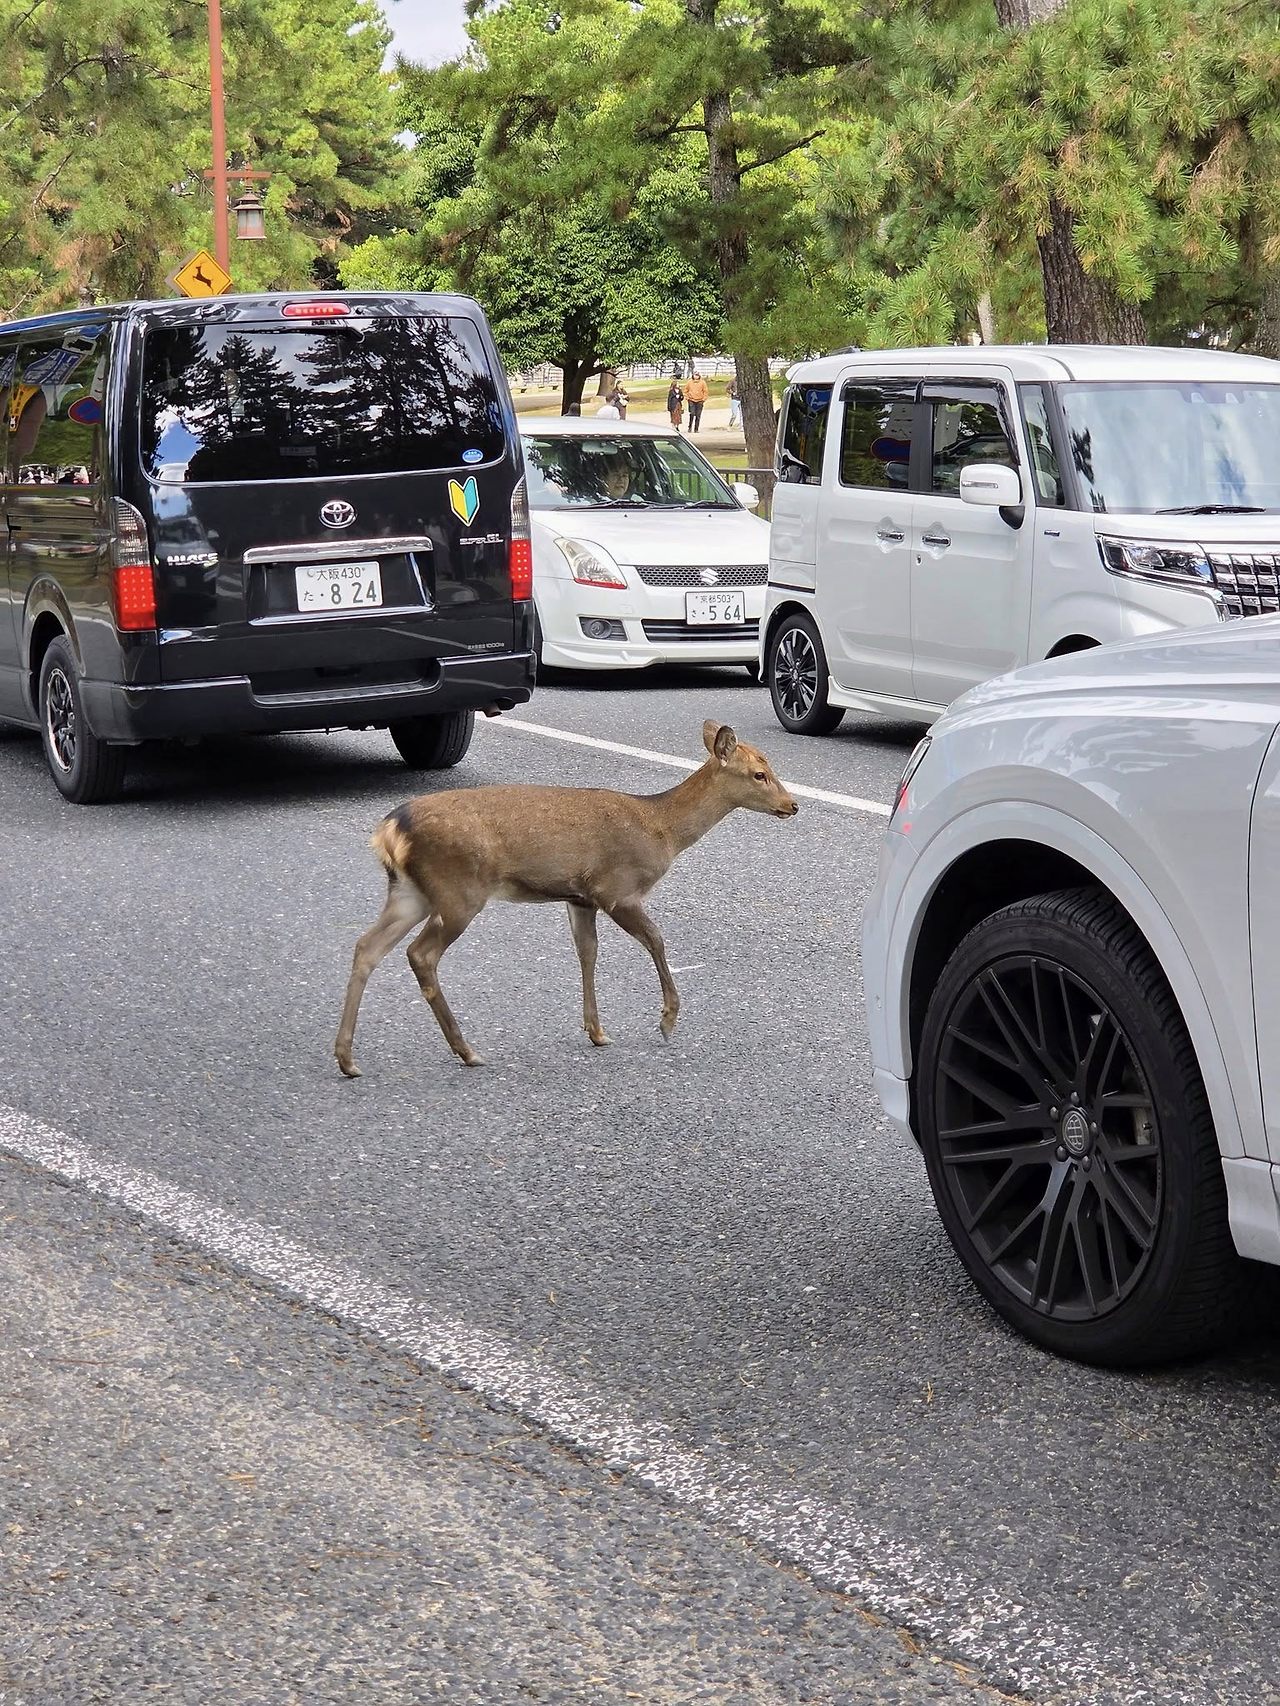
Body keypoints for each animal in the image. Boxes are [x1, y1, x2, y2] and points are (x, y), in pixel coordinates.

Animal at [334, 720, 798, 1075]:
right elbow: (656, 940)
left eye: (769, 766)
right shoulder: (617, 888)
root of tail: (389, 829)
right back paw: (466, 1051)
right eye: (759, 774)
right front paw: (667, 1020)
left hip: (410, 891)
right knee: (421, 954)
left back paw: (347, 1058)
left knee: (366, 946)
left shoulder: (580, 897)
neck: (660, 829)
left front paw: (597, 1031)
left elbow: (587, 953)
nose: (792, 805)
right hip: (458, 889)